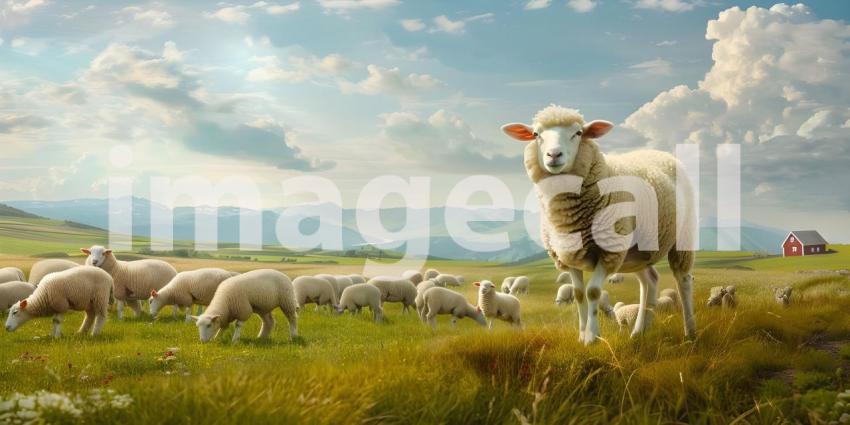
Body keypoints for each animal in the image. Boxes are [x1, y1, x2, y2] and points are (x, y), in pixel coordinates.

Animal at [502, 105, 697, 344]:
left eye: (578, 133)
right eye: (536, 134)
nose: (554, 155)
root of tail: (661, 153)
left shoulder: (608, 251)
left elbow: (593, 291)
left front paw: (592, 337)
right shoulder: (569, 255)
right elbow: (578, 295)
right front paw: (581, 335)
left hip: (682, 236)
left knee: (684, 279)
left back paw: (690, 332)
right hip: (635, 251)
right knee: (650, 281)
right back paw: (639, 332)